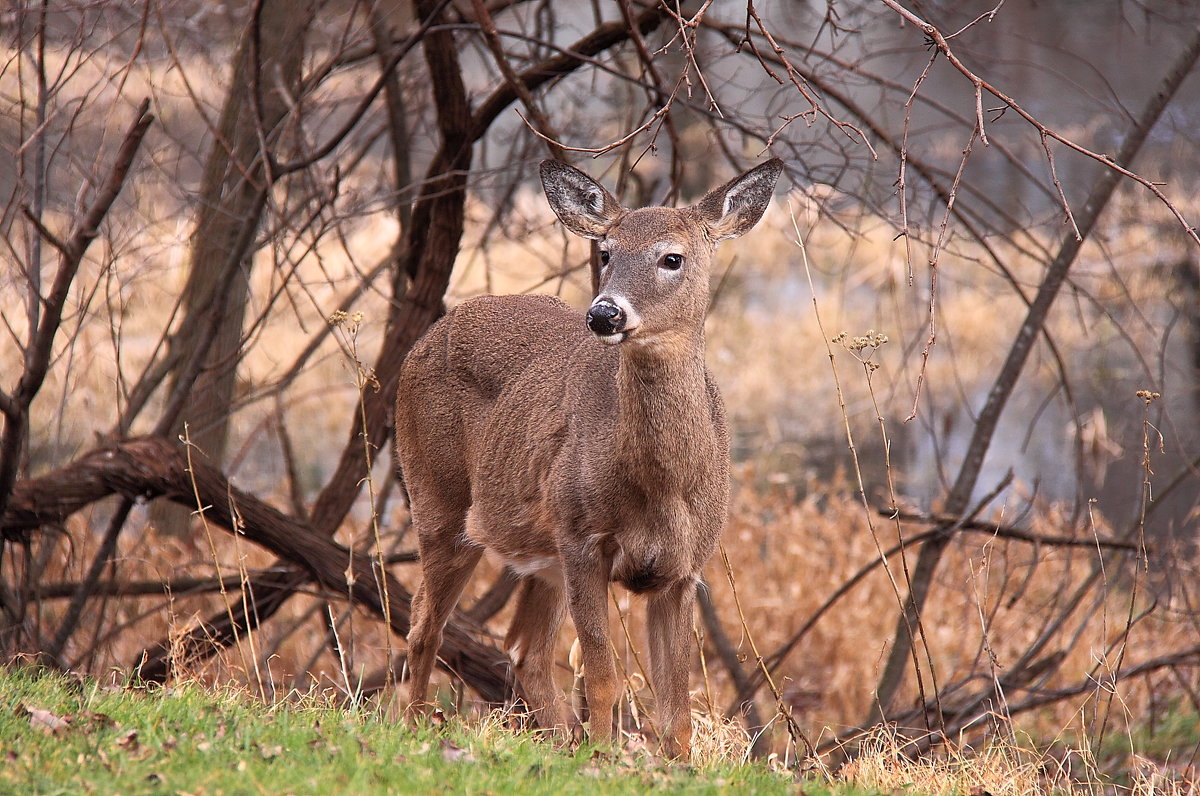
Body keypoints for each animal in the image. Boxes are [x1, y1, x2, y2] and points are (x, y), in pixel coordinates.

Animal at [396, 156, 787, 758]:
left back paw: (555, 741)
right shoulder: (583, 538)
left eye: (672, 257)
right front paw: (601, 758)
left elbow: (676, 705)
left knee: (522, 649)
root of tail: (423, 340)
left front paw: (670, 764)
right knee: (425, 628)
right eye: (605, 251)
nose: (604, 314)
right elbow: (604, 676)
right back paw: (415, 730)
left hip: (541, 551)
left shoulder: (683, 569)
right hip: (438, 498)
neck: (663, 488)